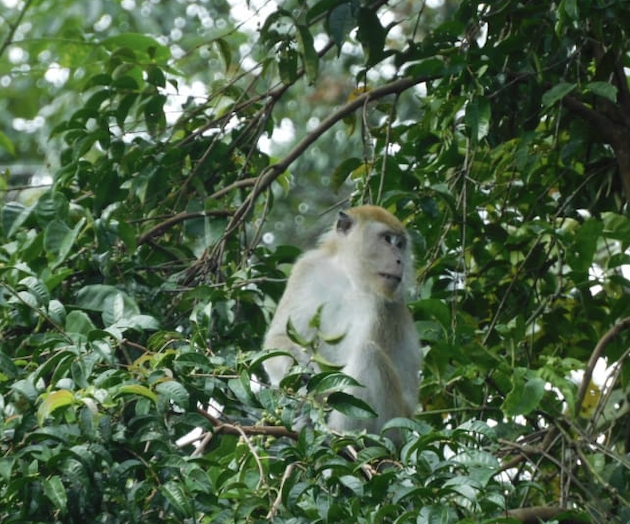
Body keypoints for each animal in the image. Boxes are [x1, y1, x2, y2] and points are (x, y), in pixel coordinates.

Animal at [264, 205, 422, 438]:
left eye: (400, 245)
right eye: (387, 239)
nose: (399, 260)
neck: (348, 278)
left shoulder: (379, 304)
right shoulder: (306, 268)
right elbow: (278, 337)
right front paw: (296, 366)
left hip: (392, 425)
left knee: (368, 354)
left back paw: (336, 433)